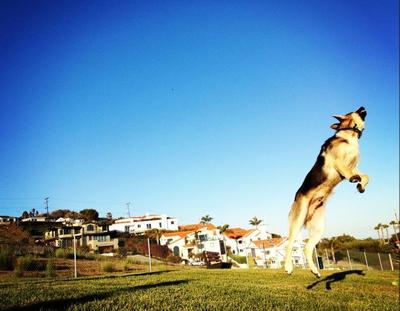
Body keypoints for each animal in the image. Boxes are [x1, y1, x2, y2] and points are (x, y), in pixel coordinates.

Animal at [284, 107, 368, 278]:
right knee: (289, 244)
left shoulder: (355, 167)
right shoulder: (338, 162)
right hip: (298, 219)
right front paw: (354, 180)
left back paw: (315, 270)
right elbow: (347, 172)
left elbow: (366, 177)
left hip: (318, 228)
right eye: (353, 110)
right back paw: (288, 267)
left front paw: (361, 186)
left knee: (307, 248)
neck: (350, 134)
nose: (363, 107)